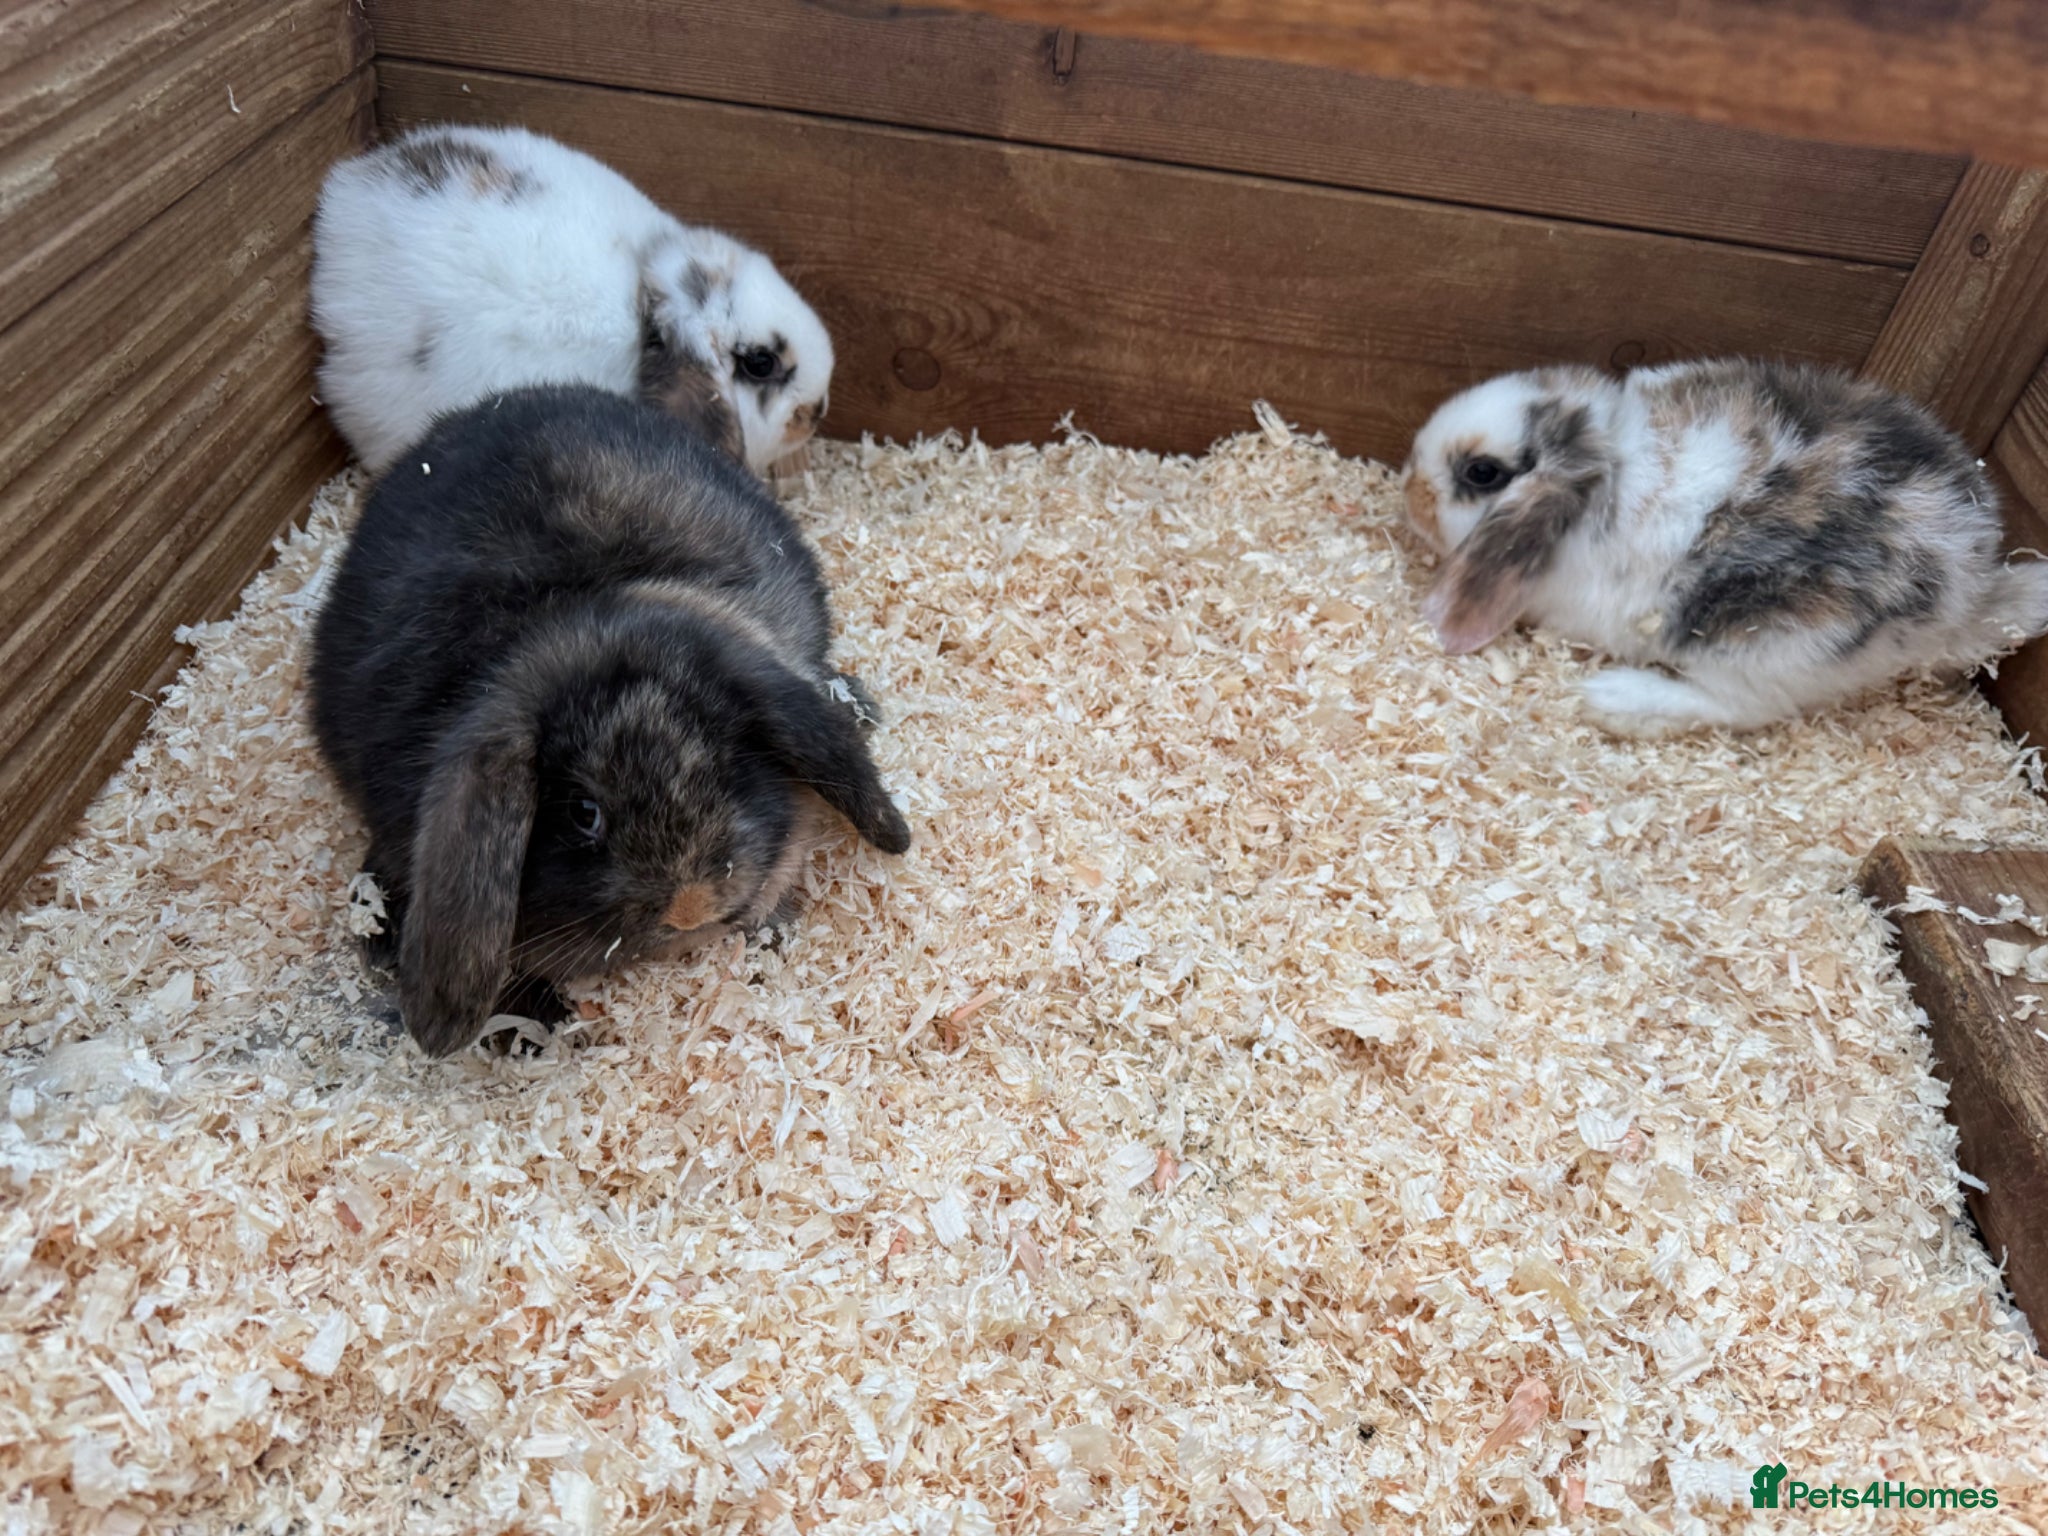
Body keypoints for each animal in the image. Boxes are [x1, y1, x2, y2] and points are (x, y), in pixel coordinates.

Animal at [1401, 358, 2048, 735]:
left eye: (1482, 472)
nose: (1409, 490)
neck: (1603, 472)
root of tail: (1967, 594)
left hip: (1767, 648)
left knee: (1738, 707)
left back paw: (1612, 700)